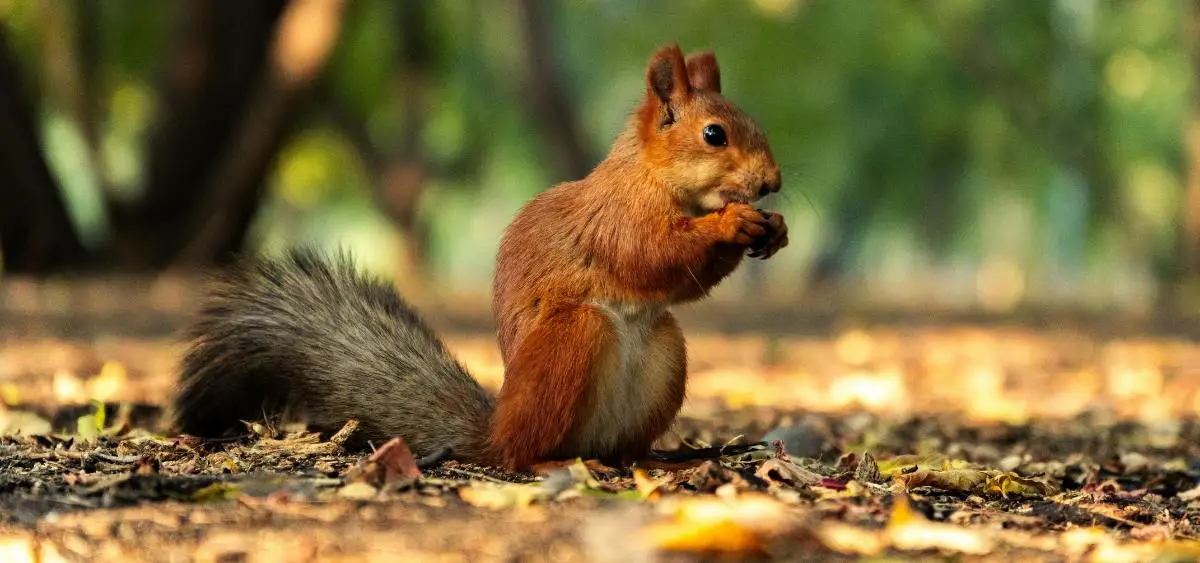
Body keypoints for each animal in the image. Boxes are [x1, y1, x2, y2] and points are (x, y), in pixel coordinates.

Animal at [172, 44, 787, 472]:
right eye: (714, 134)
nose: (773, 183)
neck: (653, 179)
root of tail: (493, 432)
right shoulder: (615, 220)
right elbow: (653, 256)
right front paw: (731, 222)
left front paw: (773, 229)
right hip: (570, 339)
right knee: (521, 454)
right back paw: (550, 460)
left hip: (665, 351)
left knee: (620, 443)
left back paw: (653, 457)